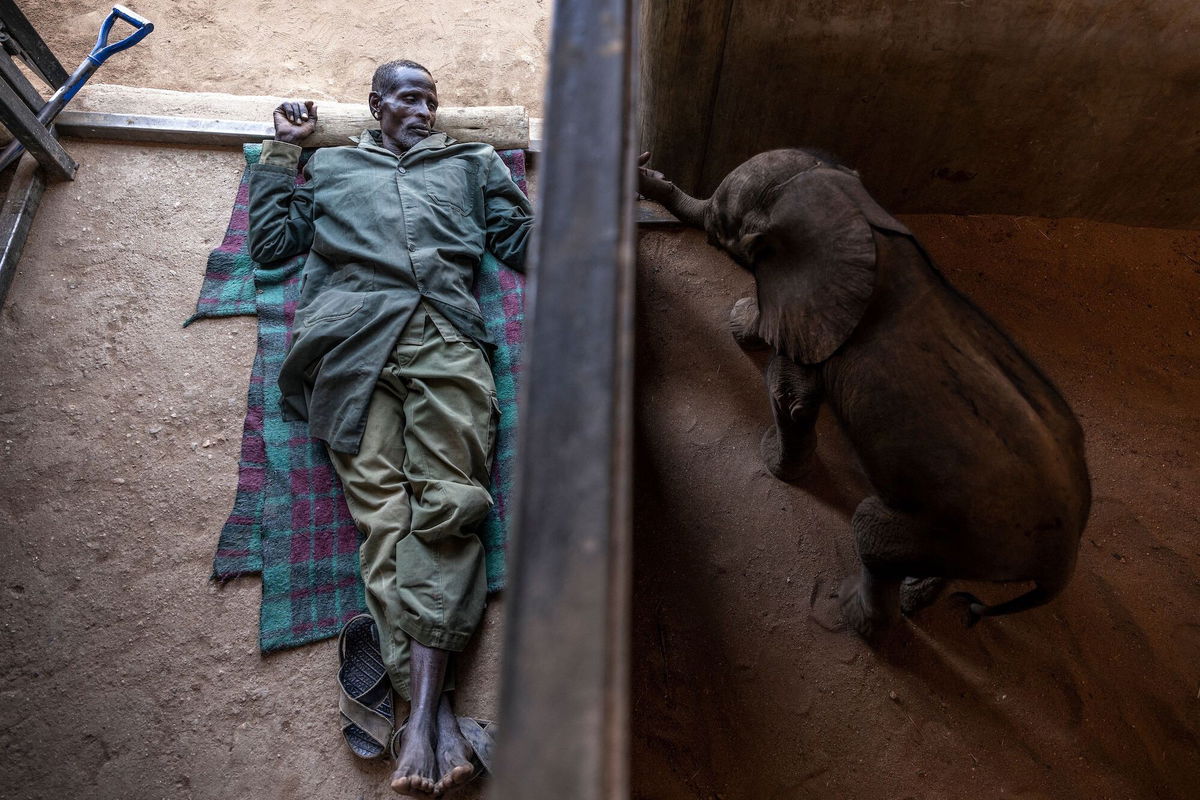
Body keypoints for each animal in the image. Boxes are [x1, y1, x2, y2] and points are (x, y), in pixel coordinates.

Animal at [643, 149, 1094, 638]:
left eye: (722, 225)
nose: (647, 170)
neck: (859, 217)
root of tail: (1063, 561)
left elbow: (790, 395)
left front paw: (776, 465)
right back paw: (915, 597)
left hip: (958, 525)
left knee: (871, 535)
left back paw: (853, 614)